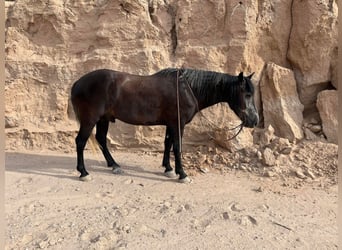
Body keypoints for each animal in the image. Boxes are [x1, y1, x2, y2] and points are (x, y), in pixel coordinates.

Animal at [71, 67, 260, 183]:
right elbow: (177, 147)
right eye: (247, 94)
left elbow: (168, 144)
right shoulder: (178, 124)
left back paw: (114, 166)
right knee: (80, 142)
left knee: (101, 139)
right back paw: (83, 172)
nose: (255, 120)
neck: (187, 89)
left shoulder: (171, 123)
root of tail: (77, 83)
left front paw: (169, 169)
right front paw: (182, 174)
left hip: (103, 119)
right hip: (90, 120)